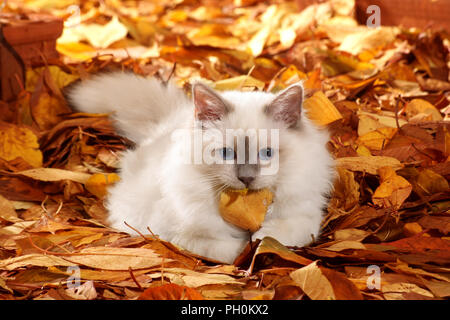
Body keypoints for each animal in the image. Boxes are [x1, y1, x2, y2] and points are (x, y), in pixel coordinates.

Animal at [68, 72, 336, 262]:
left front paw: (259, 241)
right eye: (227, 153)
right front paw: (244, 249)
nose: (246, 178)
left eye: (266, 153)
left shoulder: (305, 217)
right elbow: (223, 249)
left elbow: (278, 233)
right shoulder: (177, 233)